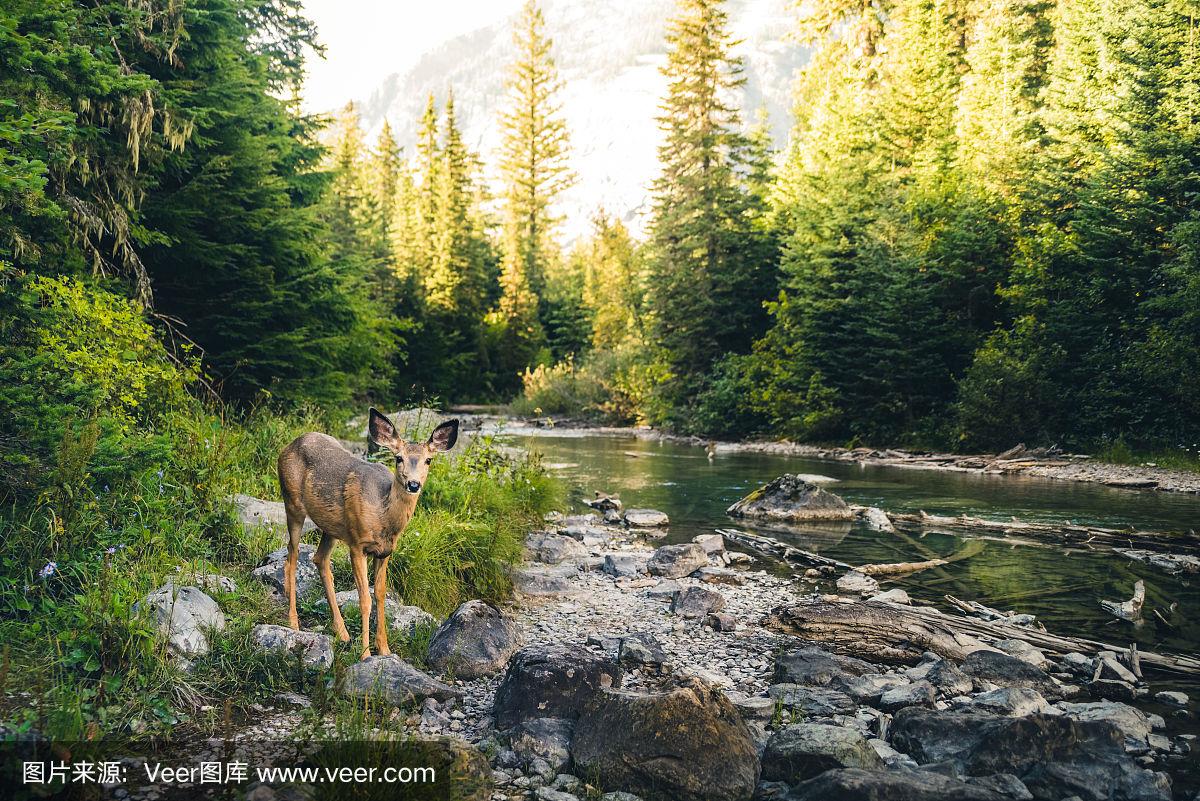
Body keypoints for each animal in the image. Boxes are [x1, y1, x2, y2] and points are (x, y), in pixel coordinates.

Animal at [276, 410, 458, 661]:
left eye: (428, 460)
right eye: (398, 458)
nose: (413, 484)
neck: (383, 518)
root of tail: (289, 446)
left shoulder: (385, 552)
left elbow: (381, 595)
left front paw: (385, 649)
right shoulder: (357, 544)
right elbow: (365, 599)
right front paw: (365, 654)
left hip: (332, 527)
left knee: (319, 559)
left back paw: (342, 632)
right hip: (292, 502)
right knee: (292, 557)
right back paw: (293, 622)